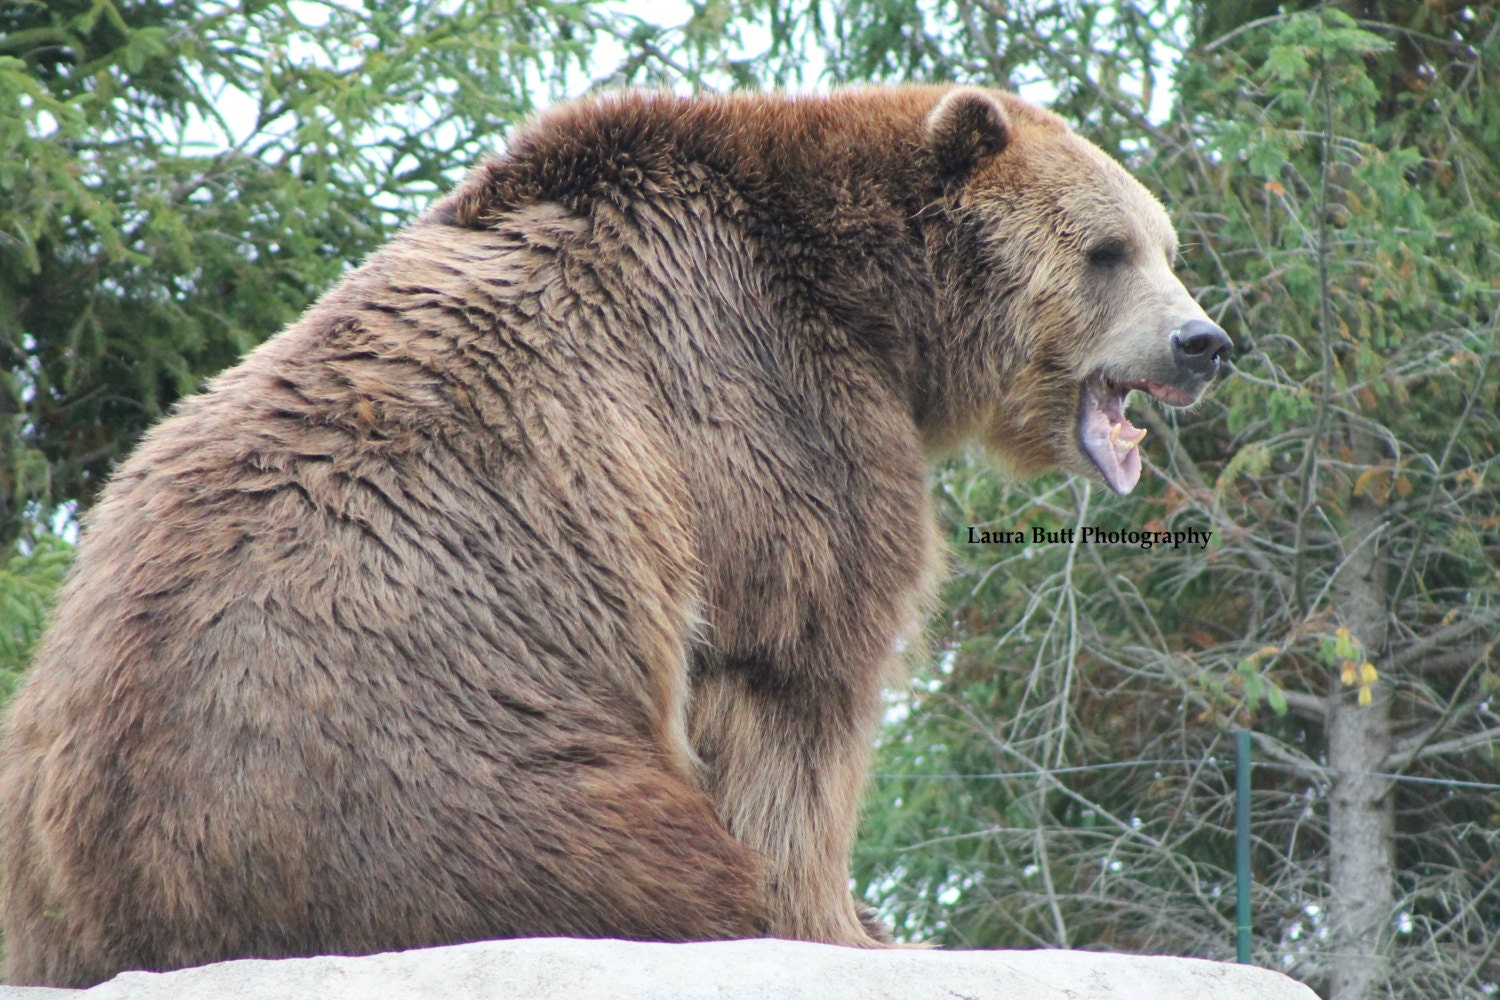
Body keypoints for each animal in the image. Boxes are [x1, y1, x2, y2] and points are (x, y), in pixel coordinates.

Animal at [0, 85, 1229, 987]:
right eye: (1109, 249)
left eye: (1167, 243)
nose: (1206, 339)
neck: (876, 306)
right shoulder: (765, 408)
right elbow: (797, 678)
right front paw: (850, 921)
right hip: (427, 762)